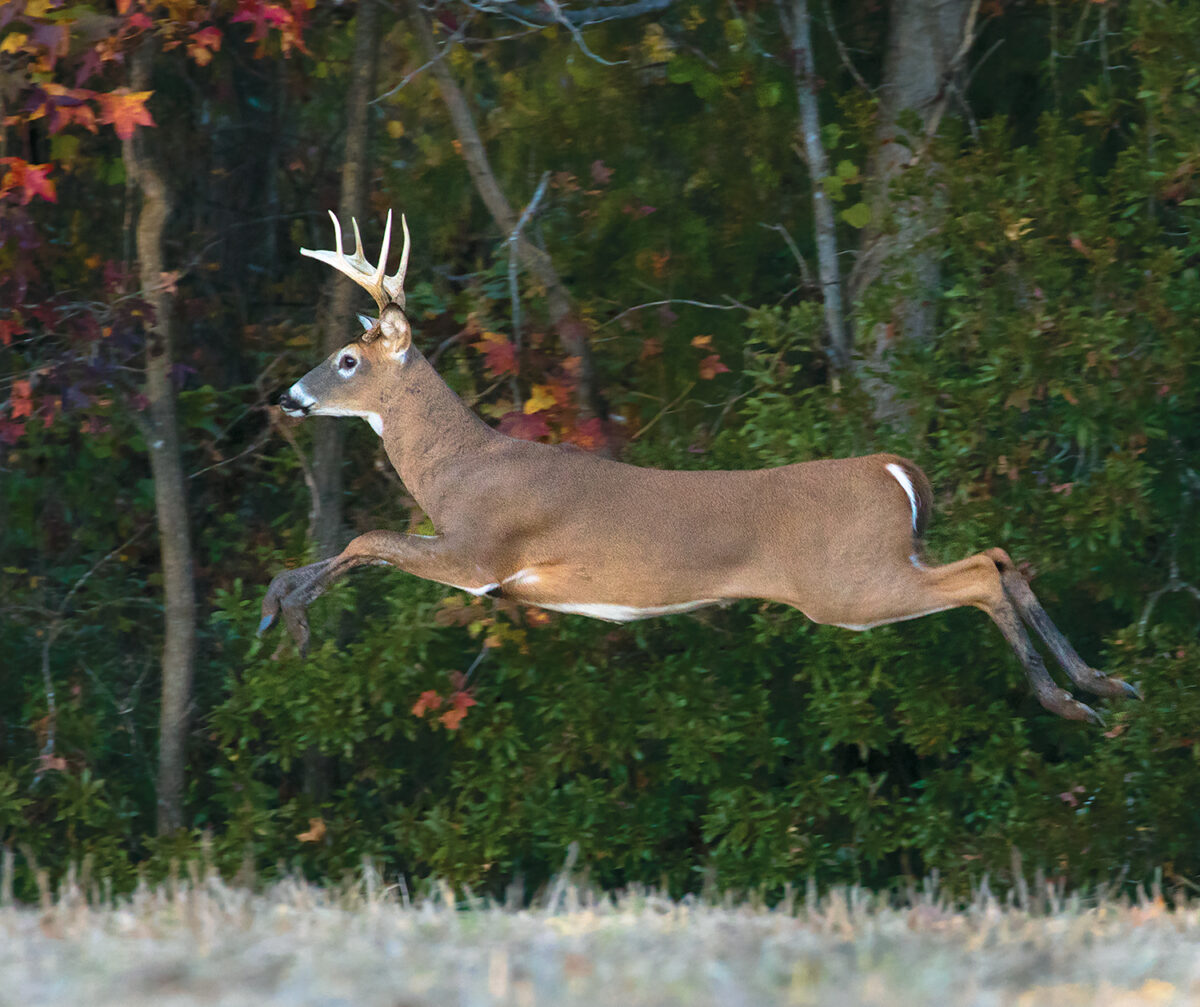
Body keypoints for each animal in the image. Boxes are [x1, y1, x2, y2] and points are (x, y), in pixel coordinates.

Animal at [260, 209, 1141, 724]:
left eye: (345, 359)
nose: (288, 396)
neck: (460, 467)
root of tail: (895, 469)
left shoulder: (483, 553)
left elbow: (366, 540)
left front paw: (288, 614)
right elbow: (363, 547)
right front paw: (279, 608)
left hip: (847, 582)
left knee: (983, 574)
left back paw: (1069, 701)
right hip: (887, 560)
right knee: (1000, 553)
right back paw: (1105, 683)